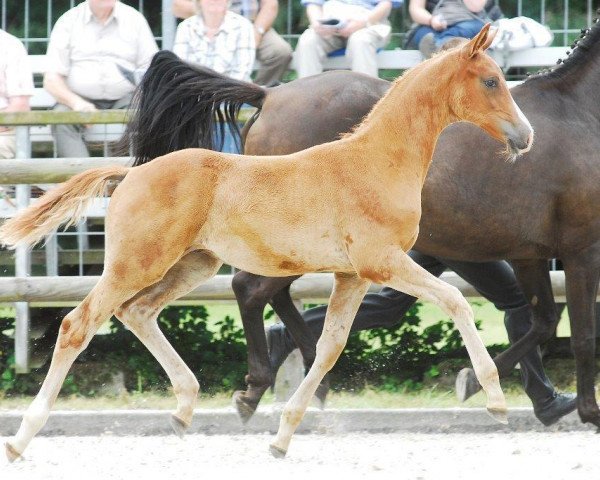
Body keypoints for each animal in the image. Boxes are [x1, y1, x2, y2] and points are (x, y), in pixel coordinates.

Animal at [3, 24, 528, 460]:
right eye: (490, 81)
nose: (525, 136)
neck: (376, 162)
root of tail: (130, 173)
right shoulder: (381, 262)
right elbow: (456, 299)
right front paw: (495, 399)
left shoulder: (352, 275)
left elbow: (329, 347)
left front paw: (282, 436)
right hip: (137, 262)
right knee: (79, 323)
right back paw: (23, 437)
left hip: (194, 264)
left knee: (138, 312)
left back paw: (185, 407)